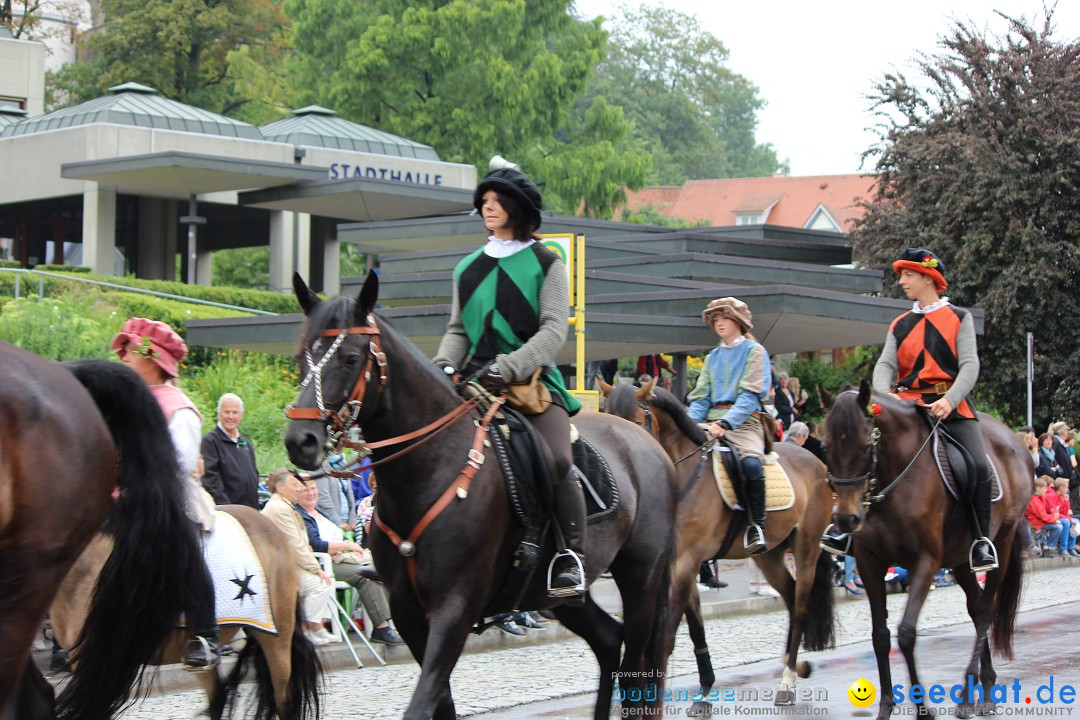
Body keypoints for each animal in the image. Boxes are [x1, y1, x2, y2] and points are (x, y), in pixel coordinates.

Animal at [282, 272, 678, 720]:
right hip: (555, 596)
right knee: (609, 641)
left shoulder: (455, 608)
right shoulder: (408, 612)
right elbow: (440, 703)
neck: (431, 466)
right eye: (301, 357)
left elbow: (423, 702)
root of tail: (650, 446)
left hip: (641, 578)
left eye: (350, 358)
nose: (300, 441)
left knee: (636, 667)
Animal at [600, 379, 833, 712]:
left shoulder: (686, 561)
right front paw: (704, 691)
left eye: (632, 423)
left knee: (800, 606)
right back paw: (794, 666)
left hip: (807, 548)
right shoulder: (679, 564)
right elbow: (695, 626)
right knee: (789, 597)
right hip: (770, 555)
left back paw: (787, 681)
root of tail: (818, 463)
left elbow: (668, 636)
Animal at [825, 382, 1028, 720]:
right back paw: (983, 687)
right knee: (976, 608)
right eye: (827, 447)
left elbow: (906, 634)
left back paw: (969, 696)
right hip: (960, 560)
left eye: (866, 446)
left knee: (986, 609)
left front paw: (922, 709)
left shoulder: (926, 562)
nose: (845, 519)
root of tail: (1016, 441)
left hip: (1001, 543)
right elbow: (880, 637)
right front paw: (886, 707)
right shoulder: (870, 563)